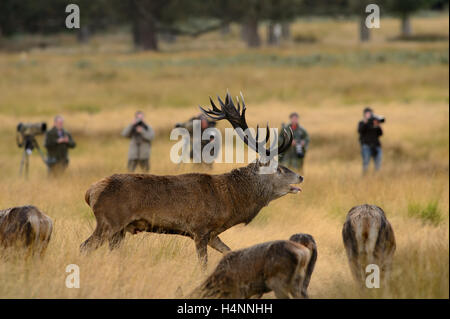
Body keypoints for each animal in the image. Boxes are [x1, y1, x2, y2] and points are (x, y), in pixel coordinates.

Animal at [80, 93, 302, 268]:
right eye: (279, 169)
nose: (300, 176)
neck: (230, 201)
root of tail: (90, 192)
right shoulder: (200, 229)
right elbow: (203, 264)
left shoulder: (213, 234)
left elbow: (230, 251)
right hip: (109, 221)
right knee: (84, 247)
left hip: (119, 231)